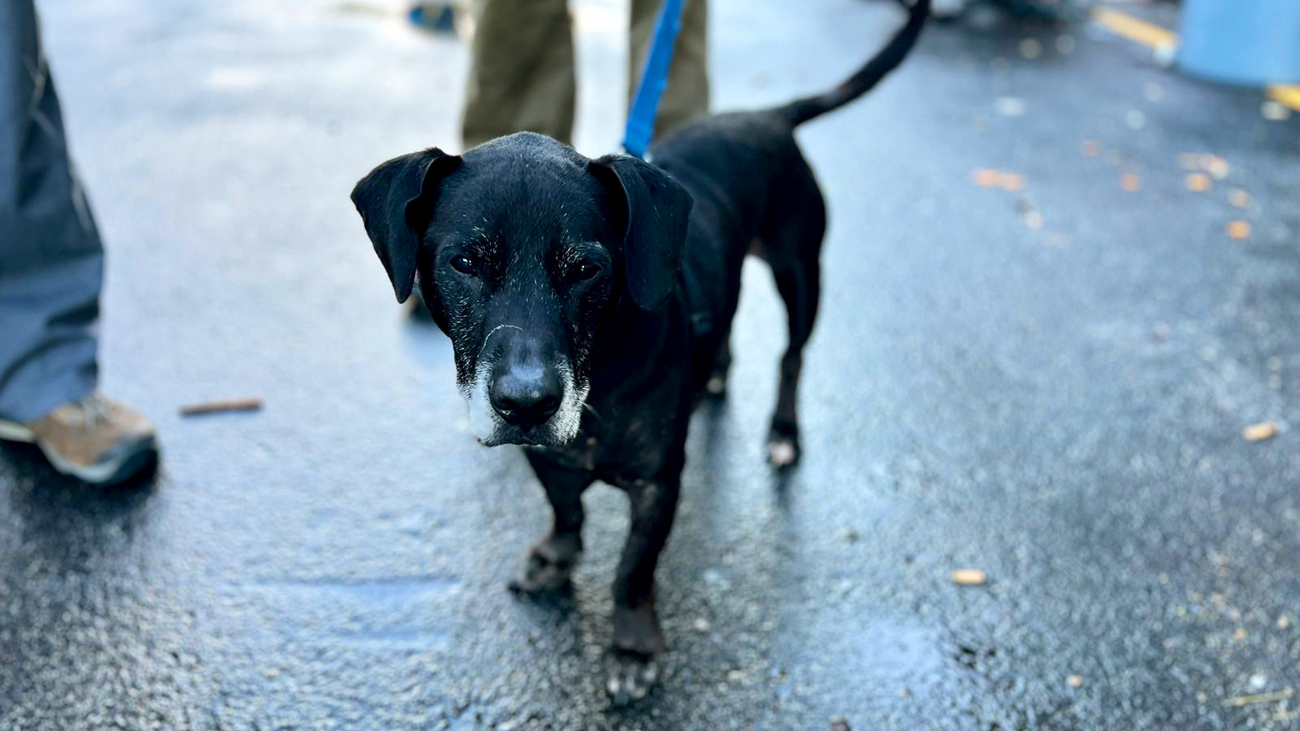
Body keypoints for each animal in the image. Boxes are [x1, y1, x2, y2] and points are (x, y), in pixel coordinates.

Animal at [351, 1, 930, 702]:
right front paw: (557, 555)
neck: (601, 380)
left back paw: (783, 432)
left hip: (801, 272)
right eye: (463, 263)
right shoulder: (545, 455)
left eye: (586, 269)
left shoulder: (658, 485)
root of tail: (765, 116)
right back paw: (713, 377)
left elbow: (633, 569)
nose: (527, 403)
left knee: (791, 357)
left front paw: (630, 649)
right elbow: (565, 508)